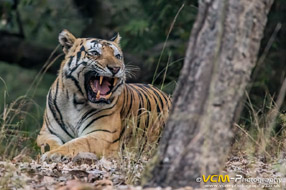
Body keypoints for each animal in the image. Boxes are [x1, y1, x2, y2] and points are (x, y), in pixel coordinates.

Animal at [35, 29, 170, 160]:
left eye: (117, 56)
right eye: (95, 53)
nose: (116, 68)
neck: (76, 102)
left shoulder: (104, 134)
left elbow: (77, 143)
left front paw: (54, 154)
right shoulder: (46, 133)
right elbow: (49, 144)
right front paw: (50, 152)